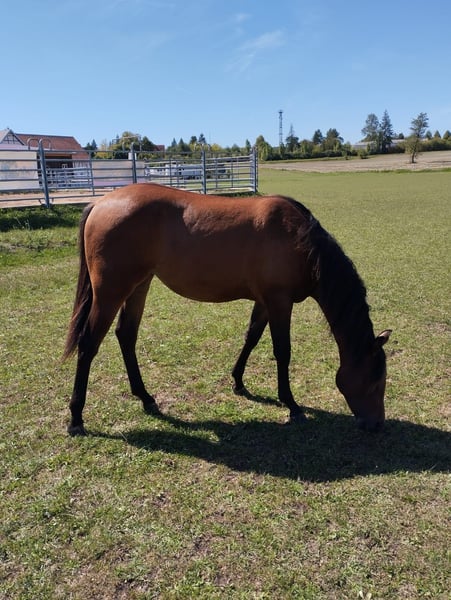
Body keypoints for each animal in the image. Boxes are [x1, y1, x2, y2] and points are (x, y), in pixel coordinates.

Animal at [64, 183, 391, 436]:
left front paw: (238, 382)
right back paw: (76, 418)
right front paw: (291, 404)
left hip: (139, 285)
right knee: (88, 344)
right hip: (110, 292)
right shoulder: (279, 301)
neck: (300, 240)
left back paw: (145, 397)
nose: (376, 424)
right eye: (376, 380)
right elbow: (282, 351)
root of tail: (100, 203)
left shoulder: (264, 301)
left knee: (126, 335)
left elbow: (251, 338)